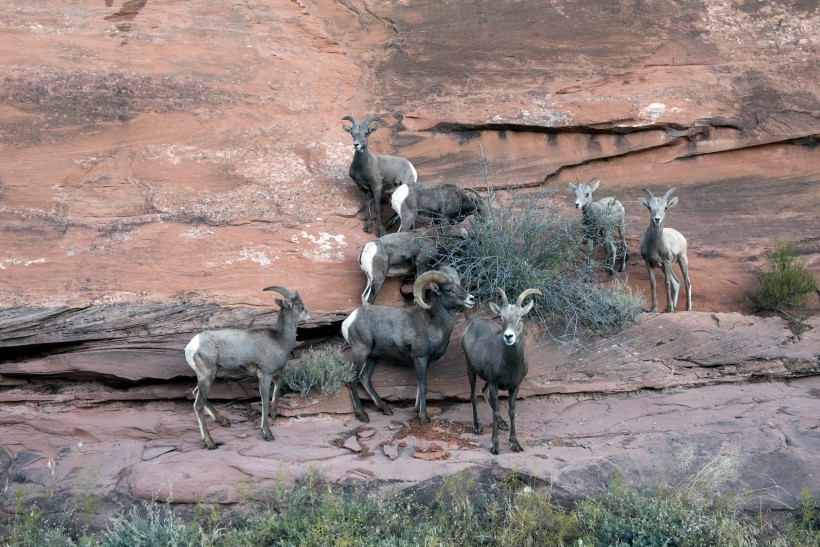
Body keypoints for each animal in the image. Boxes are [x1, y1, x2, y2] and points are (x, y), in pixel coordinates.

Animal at [184, 286, 310, 450]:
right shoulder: (264, 375)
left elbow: (276, 392)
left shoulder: (276, 374)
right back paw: (211, 443)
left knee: (195, 393)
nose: (308, 316)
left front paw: (274, 415)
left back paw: (224, 421)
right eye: (301, 307)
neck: (280, 339)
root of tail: (191, 347)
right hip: (207, 376)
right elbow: (264, 401)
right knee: (198, 405)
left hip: (208, 376)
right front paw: (267, 433)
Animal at [342, 268, 478, 426]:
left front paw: (416, 410)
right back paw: (362, 415)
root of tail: (349, 320)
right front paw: (424, 417)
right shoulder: (420, 358)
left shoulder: (424, 361)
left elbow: (419, 384)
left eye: (460, 286)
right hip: (361, 352)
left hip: (373, 356)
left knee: (364, 377)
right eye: (449, 290)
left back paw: (385, 408)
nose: (471, 299)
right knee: (352, 379)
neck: (435, 323)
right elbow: (423, 386)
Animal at [464, 288, 540, 456]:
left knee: (483, 391)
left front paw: (515, 444)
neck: (510, 365)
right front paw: (495, 447)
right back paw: (476, 427)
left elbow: (511, 411)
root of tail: (471, 325)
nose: (508, 336)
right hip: (470, 370)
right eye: (501, 317)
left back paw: (503, 425)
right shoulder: (494, 384)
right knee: (473, 395)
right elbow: (496, 412)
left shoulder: (514, 386)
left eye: (521, 317)